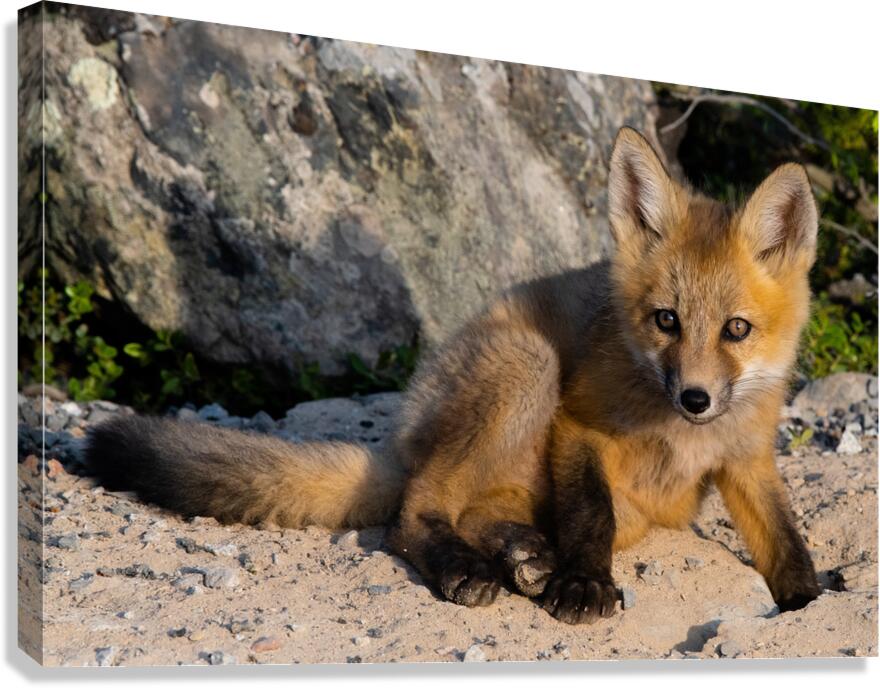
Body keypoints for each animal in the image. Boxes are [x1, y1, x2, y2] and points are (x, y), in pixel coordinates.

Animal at [85, 127, 822, 624]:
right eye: (666, 320)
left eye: (736, 330)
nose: (695, 397)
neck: (684, 438)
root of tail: (403, 432)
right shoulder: (579, 426)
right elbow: (590, 518)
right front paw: (584, 583)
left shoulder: (747, 458)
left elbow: (785, 542)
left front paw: (808, 599)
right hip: (528, 367)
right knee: (415, 512)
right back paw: (473, 568)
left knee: (479, 512)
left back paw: (524, 556)